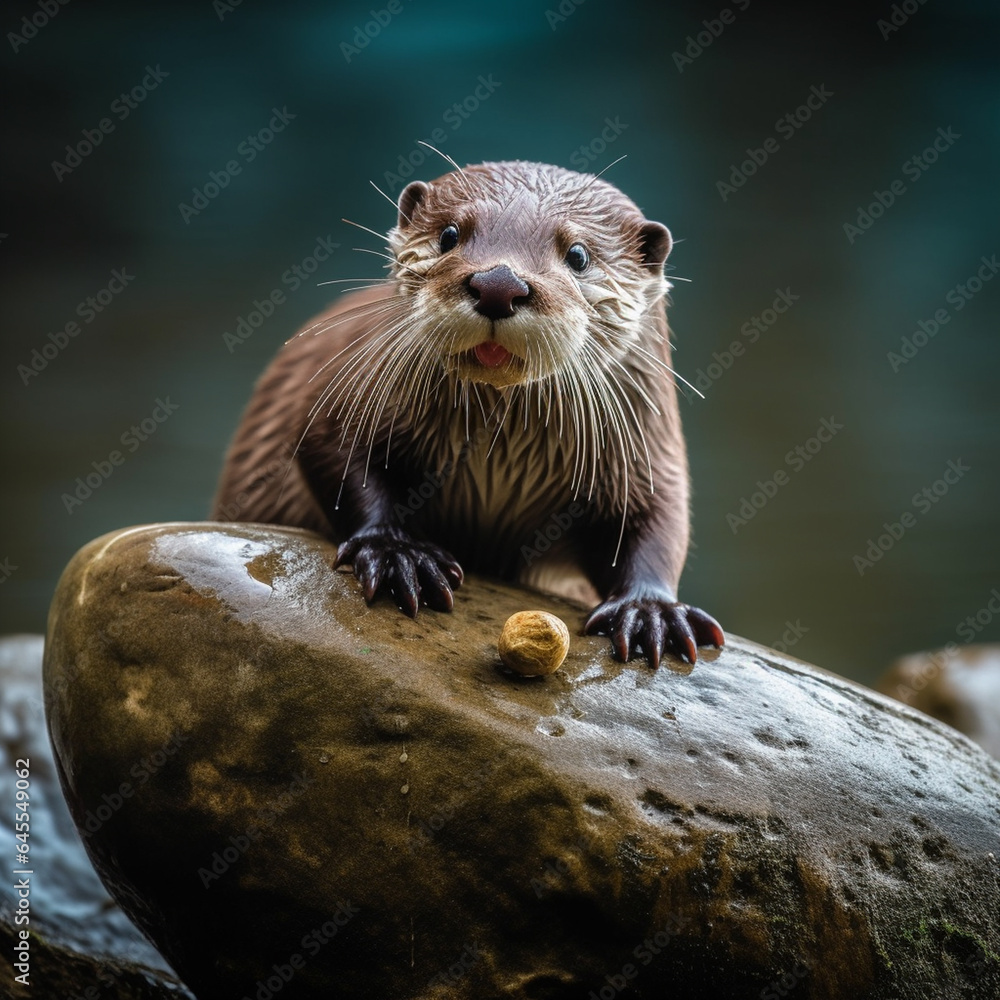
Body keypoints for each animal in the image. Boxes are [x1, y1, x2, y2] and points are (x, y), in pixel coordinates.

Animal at [213, 159, 724, 668]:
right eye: (449, 235)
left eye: (578, 255)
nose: (499, 283)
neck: (499, 453)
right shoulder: (345, 394)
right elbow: (333, 451)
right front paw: (395, 551)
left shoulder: (646, 453)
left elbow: (658, 520)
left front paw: (652, 610)